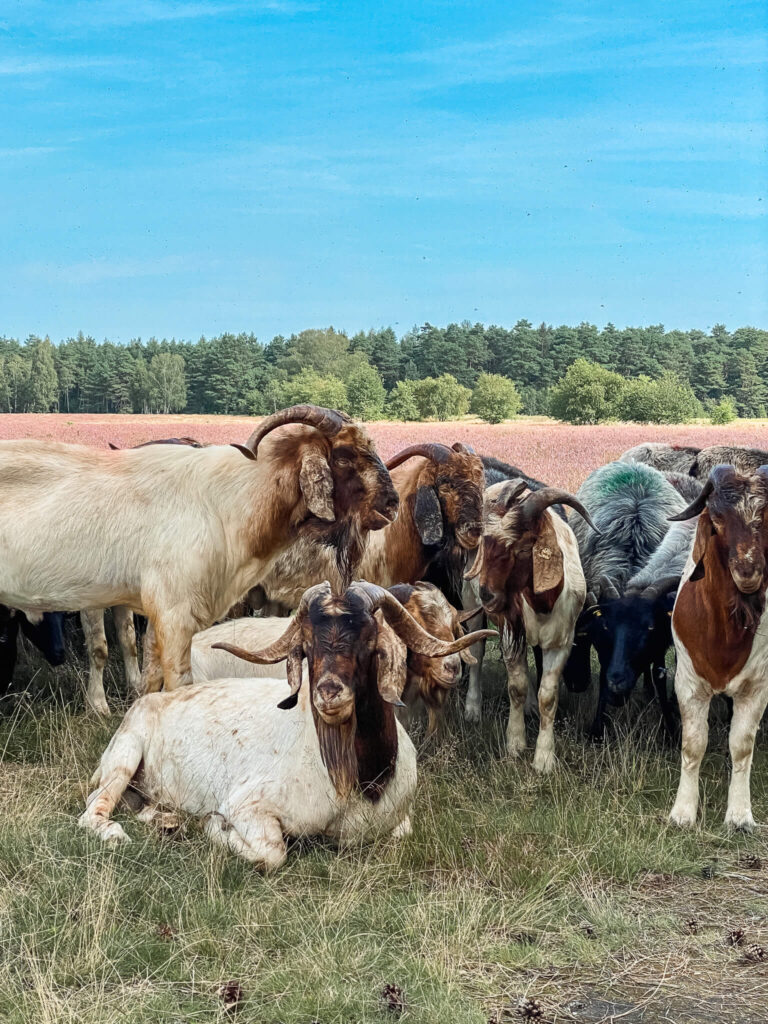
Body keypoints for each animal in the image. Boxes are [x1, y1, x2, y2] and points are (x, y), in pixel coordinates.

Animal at [0, 405, 398, 699]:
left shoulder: (159, 614)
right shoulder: (174, 612)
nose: (392, 504)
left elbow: (151, 677)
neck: (225, 501)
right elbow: (178, 682)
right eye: (344, 457)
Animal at [79, 582, 493, 868]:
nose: (329, 694)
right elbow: (273, 853)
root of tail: (150, 696)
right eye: (308, 646)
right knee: (93, 808)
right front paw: (214, 826)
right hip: (125, 754)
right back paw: (116, 832)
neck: (362, 781)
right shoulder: (249, 805)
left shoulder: (399, 820)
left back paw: (167, 820)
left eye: (369, 639)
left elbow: (402, 833)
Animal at [465, 479, 596, 771]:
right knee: (476, 654)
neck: (543, 603)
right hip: (471, 603)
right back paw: (472, 709)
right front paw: (515, 743)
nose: (488, 595)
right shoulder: (510, 630)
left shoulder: (561, 641)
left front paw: (544, 758)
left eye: (524, 548)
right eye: (485, 544)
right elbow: (517, 686)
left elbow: (548, 695)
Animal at [563, 461, 687, 736]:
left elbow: (659, 675)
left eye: (649, 628)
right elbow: (602, 674)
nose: (618, 685)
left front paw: (670, 728)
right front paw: (597, 728)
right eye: (606, 627)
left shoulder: (660, 637)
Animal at [668, 465, 768, 829]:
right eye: (717, 517)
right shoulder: (688, 683)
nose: (748, 570)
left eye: (764, 514)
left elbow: (741, 747)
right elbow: (693, 746)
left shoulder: (757, 688)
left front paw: (739, 815)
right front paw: (683, 812)